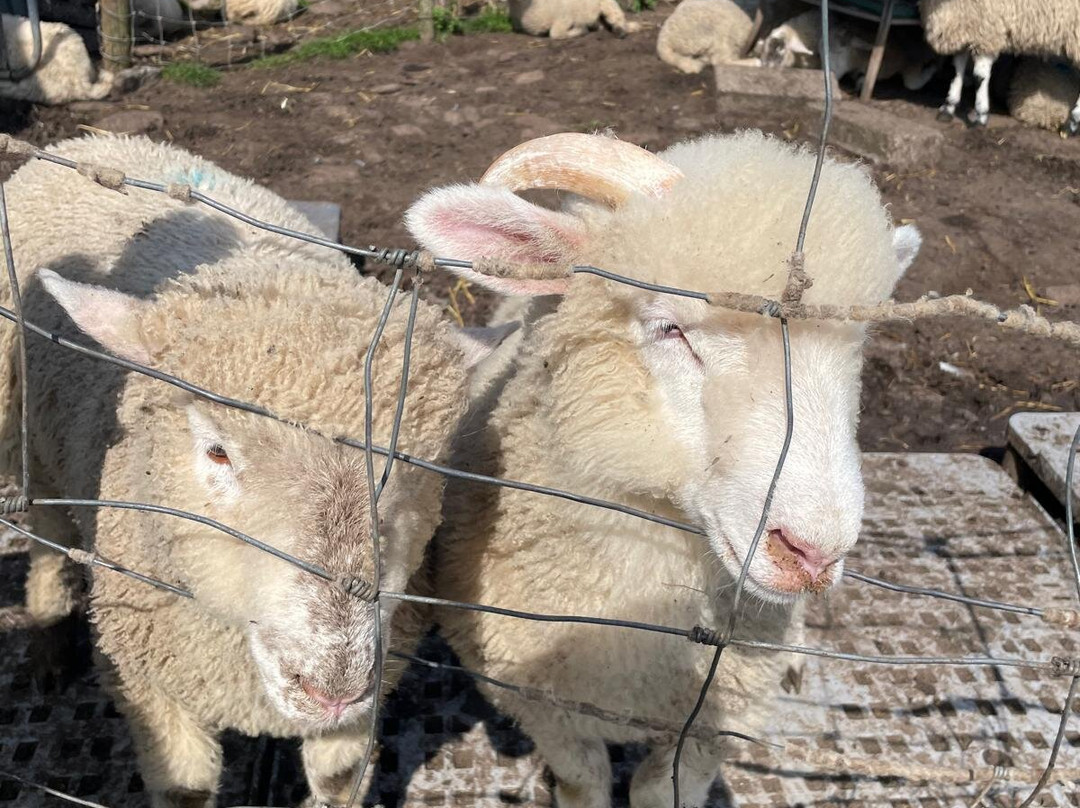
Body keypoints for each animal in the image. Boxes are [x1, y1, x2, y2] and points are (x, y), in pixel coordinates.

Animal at [0, 133, 506, 807]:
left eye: (421, 466)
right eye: (217, 451)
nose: (331, 685)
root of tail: (98, 140)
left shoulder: (363, 708)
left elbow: (338, 781)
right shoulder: (151, 687)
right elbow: (184, 788)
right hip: (33, 442)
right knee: (48, 538)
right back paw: (49, 638)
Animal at [405, 131, 921, 808]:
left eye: (857, 351)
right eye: (669, 328)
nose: (813, 552)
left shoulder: (712, 724)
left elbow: (660, 791)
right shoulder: (543, 706)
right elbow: (584, 782)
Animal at [508, 0, 640, 39]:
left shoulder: (564, 18)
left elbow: (556, 34)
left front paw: (581, 30)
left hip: (606, 3)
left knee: (617, 16)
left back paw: (622, 31)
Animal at [920, 0, 1080, 133]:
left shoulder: (986, 31)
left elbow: (979, 77)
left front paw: (981, 116)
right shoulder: (963, 26)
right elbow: (956, 71)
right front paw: (948, 108)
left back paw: (1072, 124)